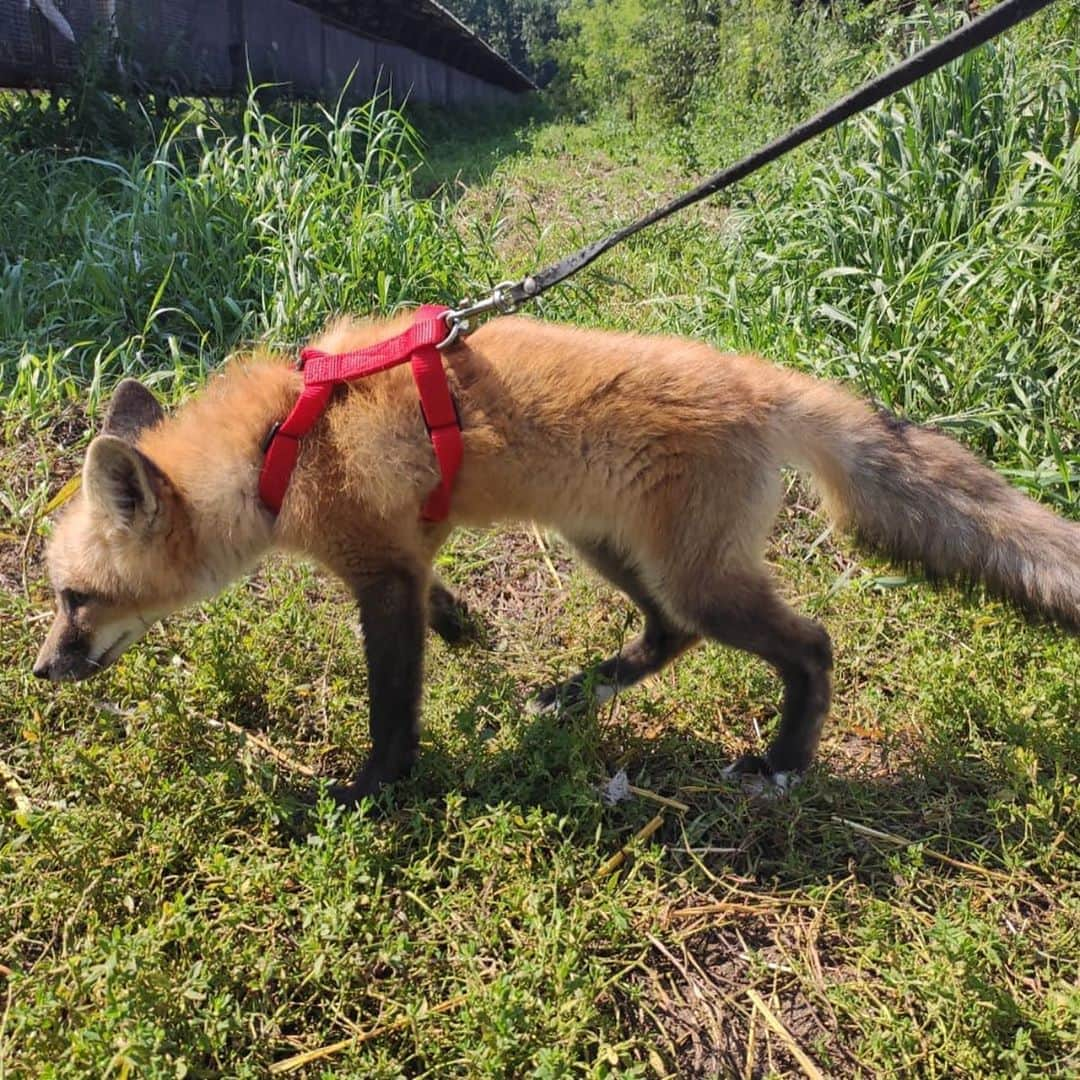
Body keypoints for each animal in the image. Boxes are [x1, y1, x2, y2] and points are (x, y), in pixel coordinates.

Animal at [33, 313, 1080, 803]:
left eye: (76, 599)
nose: (43, 670)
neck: (281, 443)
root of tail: (759, 381)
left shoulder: (378, 575)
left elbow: (393, 709)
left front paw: (374, 792)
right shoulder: (404, 559)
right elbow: (439, 608)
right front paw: (470, 634)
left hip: (700, 579)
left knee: (810, 645)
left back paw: (783, 761)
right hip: (609, 549)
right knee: (666, 637)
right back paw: (580, 692)